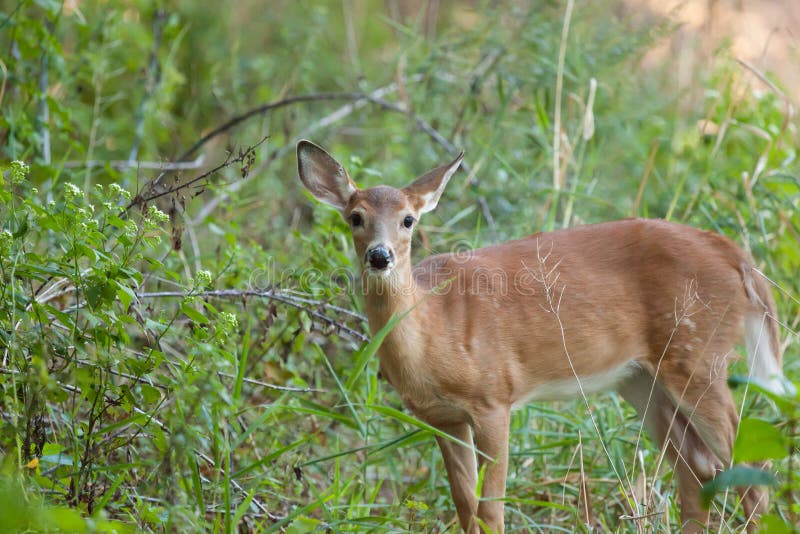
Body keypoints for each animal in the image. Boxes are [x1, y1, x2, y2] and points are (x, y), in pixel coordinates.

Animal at [296, 140, 792, 532]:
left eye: (408, 220)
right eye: (354, 217)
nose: (380, 257)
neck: (435, 333)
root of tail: (735, 256)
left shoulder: (493, 397)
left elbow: (490, 509)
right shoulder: (441, 417)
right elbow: (464, 506)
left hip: (699, 353)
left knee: (752, 464)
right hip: (641, 378)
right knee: (699, 466)